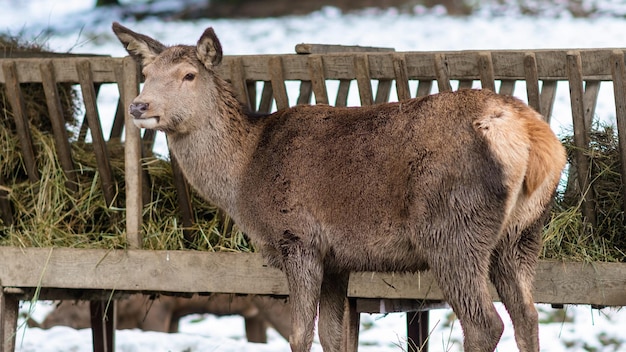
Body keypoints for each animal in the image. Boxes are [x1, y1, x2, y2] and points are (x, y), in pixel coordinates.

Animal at [112, 22, 564, 352]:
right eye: (146, 74)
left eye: (189, 75)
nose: (139, 105)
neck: (244, 174)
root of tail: (535, 138)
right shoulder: (337, 258)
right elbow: (334, 336)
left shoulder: (298, 238)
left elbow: (300, 335)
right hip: (522, 233)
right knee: (527, 316)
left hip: (453, 227)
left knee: (485, 324)